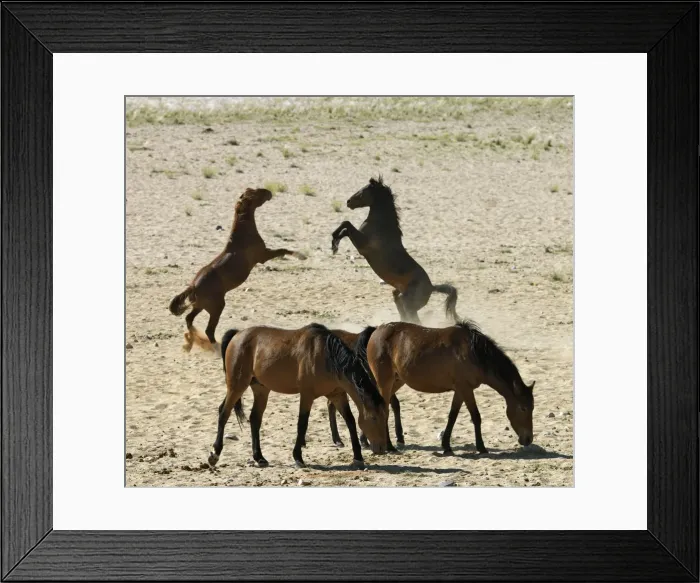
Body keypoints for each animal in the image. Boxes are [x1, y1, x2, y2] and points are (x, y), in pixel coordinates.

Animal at [169, 187, 306, 351]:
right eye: (256, 193)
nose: (269, 192)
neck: (242, 234)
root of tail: (194, 286)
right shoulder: (263, 256)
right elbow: (283, 250)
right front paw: (301, 256)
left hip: (199, 306)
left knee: (189, 319)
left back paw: (190, 342)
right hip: (216, 307)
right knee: (209, 329)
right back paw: (215, 347)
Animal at [208, 324, 389, 470]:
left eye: (385, 416)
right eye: (374, 418)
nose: (382, 449)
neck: (326, 355)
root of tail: (238, 334)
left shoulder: (337, 394)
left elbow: (350, 421)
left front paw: (358, 458)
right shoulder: (307, 395)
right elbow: (302, 424)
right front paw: (298, 457)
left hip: (261, 389)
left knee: (255, 419)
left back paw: (259, 458)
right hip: (237, 385)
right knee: (224, 412)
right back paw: (215, 454)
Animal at [330, 176, 458, 324]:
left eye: (363, 191)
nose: (348, 202)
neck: (381, 225)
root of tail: (432, 287)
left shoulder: (362, 245)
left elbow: (346, 224)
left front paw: (334, 243)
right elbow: (345, 228)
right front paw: (334, 245)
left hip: (408, 303)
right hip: (398, 296)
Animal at [357, 320, 535, 455]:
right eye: (523, 408)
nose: (528, 439)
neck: (473, 353)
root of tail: (376, 331)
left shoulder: (460, 390)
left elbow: (452, 416)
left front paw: (446, 445)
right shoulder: (466, 389)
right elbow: (476, 416)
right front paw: (481, 447)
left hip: (396, 381)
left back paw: (366, 439)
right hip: (385, 382)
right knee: (383, 409)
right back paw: (389, 445)